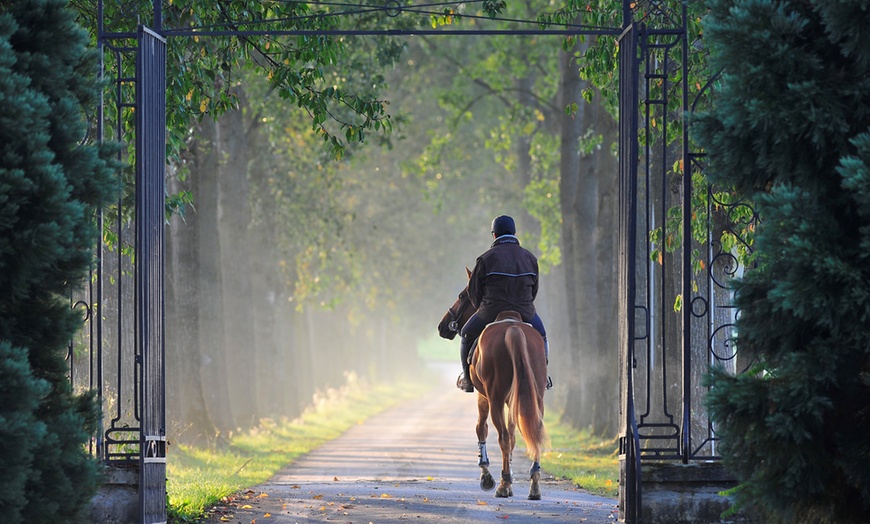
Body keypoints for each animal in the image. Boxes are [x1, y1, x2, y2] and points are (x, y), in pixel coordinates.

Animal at [436, 270, 552, 500]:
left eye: (462, 296)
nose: (443, 326)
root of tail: (513, 329)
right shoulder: (513, 400)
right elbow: (514, 435)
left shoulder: (483, 396)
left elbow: (481, 429)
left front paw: (487, 475)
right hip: (535, 397)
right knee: (532, 431)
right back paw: (534, 484)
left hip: (495, 398)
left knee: (502, 437)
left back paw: (503, 484)